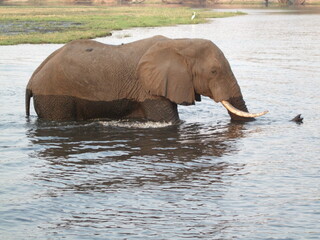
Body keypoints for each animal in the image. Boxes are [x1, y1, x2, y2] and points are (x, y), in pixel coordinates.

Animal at [26, 35, 268, 124]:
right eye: (214, 72)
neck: (180, 43)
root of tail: (32, 79)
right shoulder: (149, 90)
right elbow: (171, 121)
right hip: (55, 99)